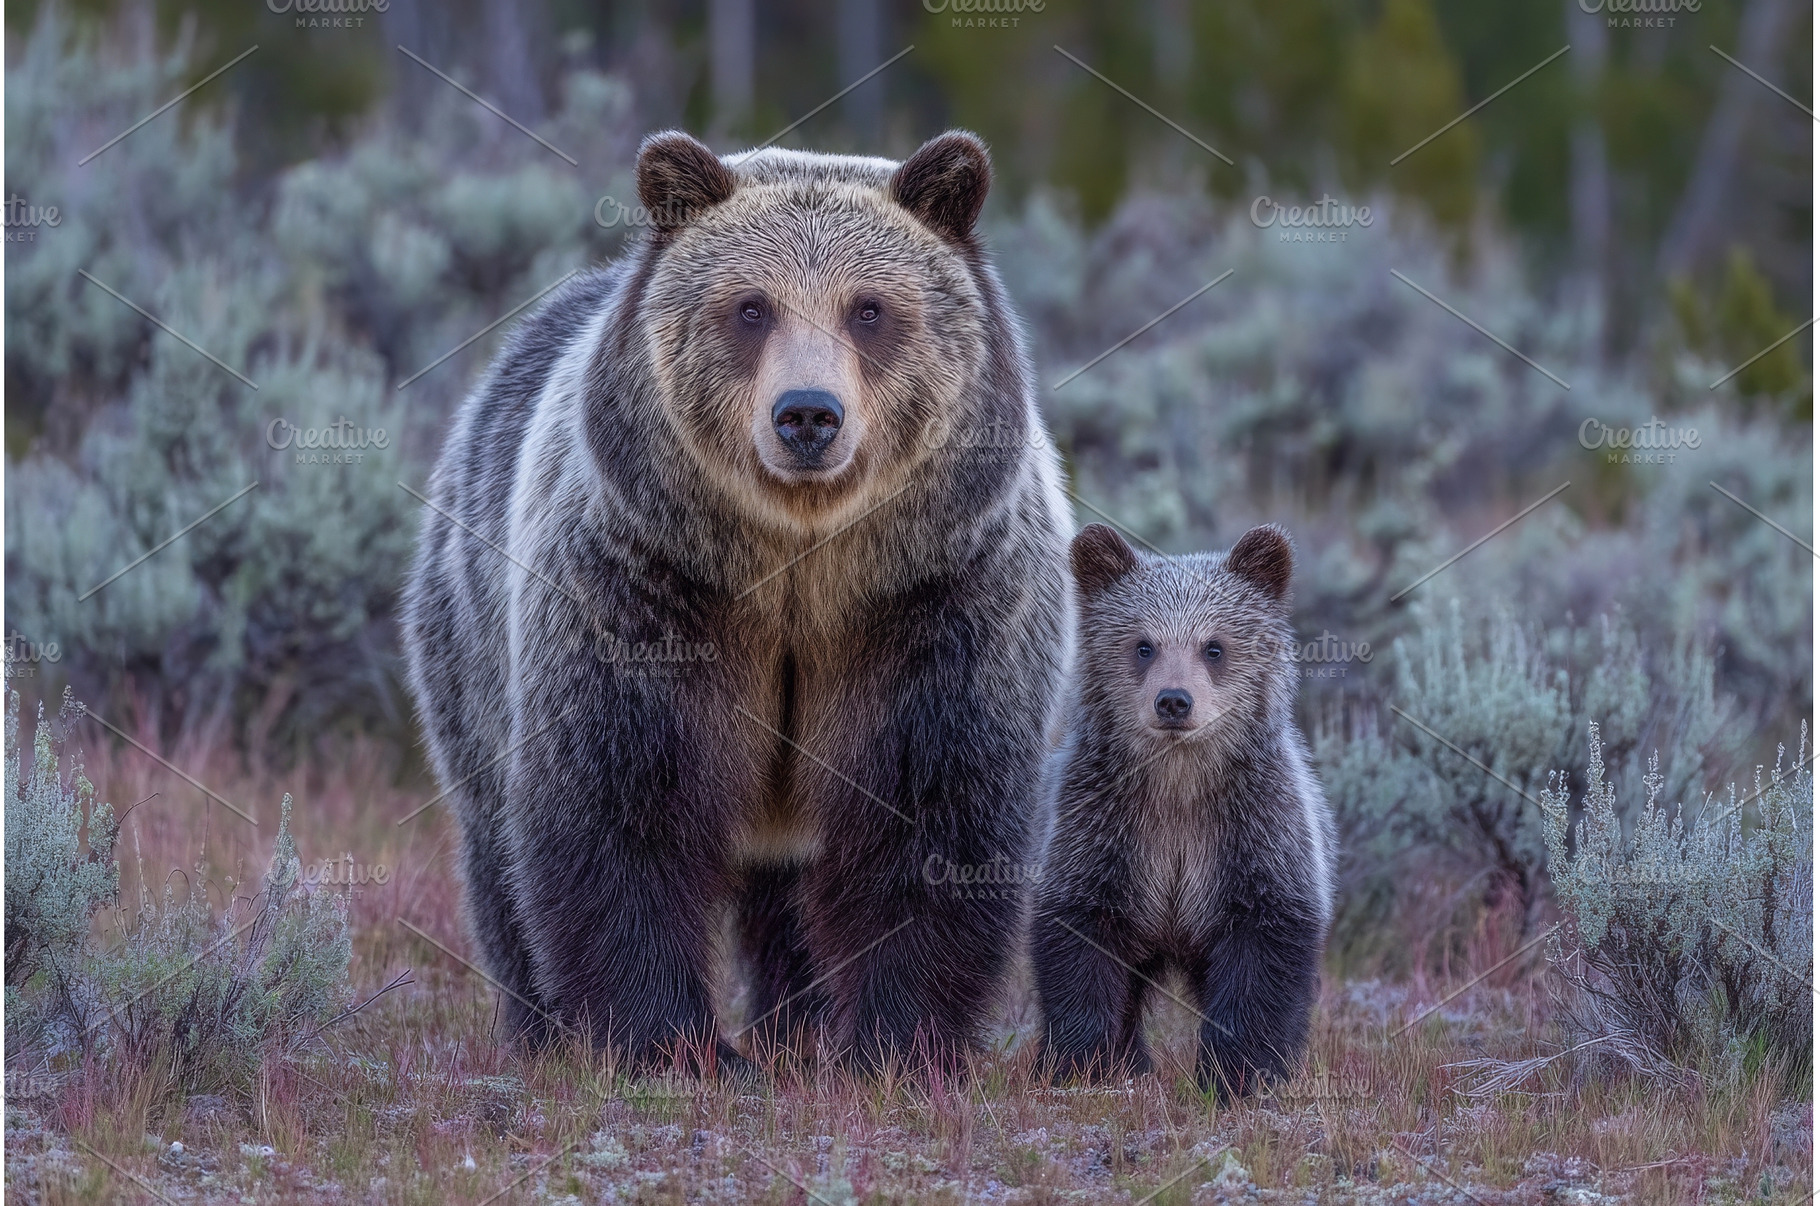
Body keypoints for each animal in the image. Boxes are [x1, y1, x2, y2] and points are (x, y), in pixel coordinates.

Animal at [400, 129, 1074, 1071]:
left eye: (869, 309)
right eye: (752, 308)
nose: (808, 415)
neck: (798, 563)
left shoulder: (936, 602)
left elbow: (931, 816)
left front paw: (895, 1043)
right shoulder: (649, 587)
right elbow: (623, 806)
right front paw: (665, 1041)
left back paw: (798, 1030)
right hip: (470, 624)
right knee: (497, 845)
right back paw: (540, 1030)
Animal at [1030, 523, 1333, 1097]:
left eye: (1213, 647)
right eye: (1143, 645)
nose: (1174, 700)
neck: (1178, 787)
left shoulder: (1255, 832)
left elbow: (1262, 958)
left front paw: (1238, 1073)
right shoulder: (1099, 828)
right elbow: (1081, 947)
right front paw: (1081, 1064)